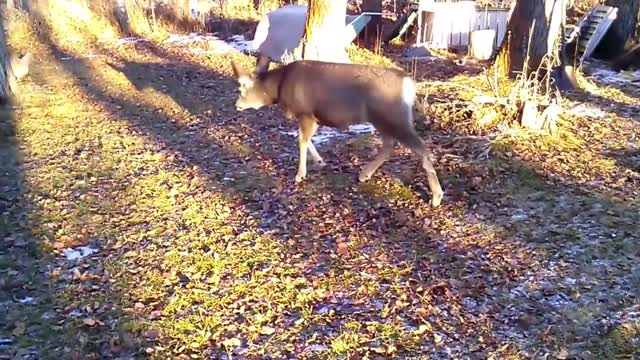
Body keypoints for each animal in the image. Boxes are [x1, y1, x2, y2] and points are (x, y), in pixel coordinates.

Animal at [230, 59, 444, 208]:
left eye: (241, 89)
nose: (237, 105)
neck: (280, 89)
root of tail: (410, 83)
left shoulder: (306, 113)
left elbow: (302, 141)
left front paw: (300, 174)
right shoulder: (314, 118)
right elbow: (307, 139)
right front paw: (320, 161)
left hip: (393, 116)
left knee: (421, 148)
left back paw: (436, 197)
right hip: (383, 119)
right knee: (390, 145)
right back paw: (364, 174)